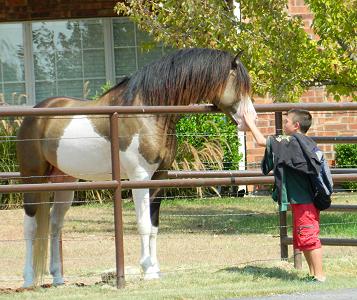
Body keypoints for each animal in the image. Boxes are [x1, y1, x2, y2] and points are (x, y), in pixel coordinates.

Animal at [16, 48, 254, 288]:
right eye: (239, 85)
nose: (251, 119)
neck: (146, 113)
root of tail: (35, 115)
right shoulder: (139, 177)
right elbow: (143, 224)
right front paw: (147, 269)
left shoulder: (159, 178)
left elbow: (154, 226)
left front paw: (155, 269)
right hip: (32, 179)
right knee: (30, 226)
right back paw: (27, 279)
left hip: (64, 181)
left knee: (55, 223)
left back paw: (57, 277)